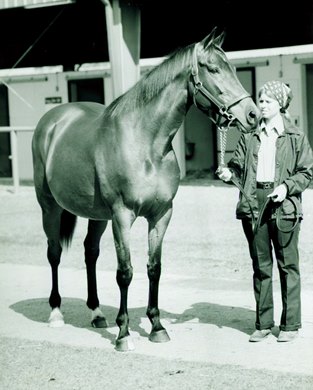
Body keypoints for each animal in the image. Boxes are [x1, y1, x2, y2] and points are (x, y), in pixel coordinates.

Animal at [31, 27, 258, 350]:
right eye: (213, 69)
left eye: (234, 69)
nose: (252, 115)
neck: (145, 143)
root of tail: (54, 119)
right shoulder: (122, 215)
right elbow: (125, 272)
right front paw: (124, 334)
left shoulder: (161, 214)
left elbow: (154, 268)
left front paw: (157, 326)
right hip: (49, 206)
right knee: (53, 253)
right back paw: (56, 313)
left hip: (97, 216)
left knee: (90, 253)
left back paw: (96, 313)